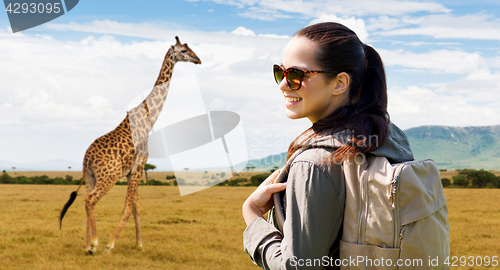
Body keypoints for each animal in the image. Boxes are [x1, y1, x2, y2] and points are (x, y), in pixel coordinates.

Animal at [58, 36, 199, 255]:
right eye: (184, 50)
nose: (198, 59)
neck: (149, 119)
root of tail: (87, 157)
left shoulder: (134, 170)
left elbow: (135, 207)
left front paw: (140, 244)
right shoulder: (138, 167)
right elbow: (127, 208)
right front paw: (110, 245)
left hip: (90, 176)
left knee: (86, 200)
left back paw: (88, 246)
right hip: (109, 176)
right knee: (91, 200)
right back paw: (96, 243)